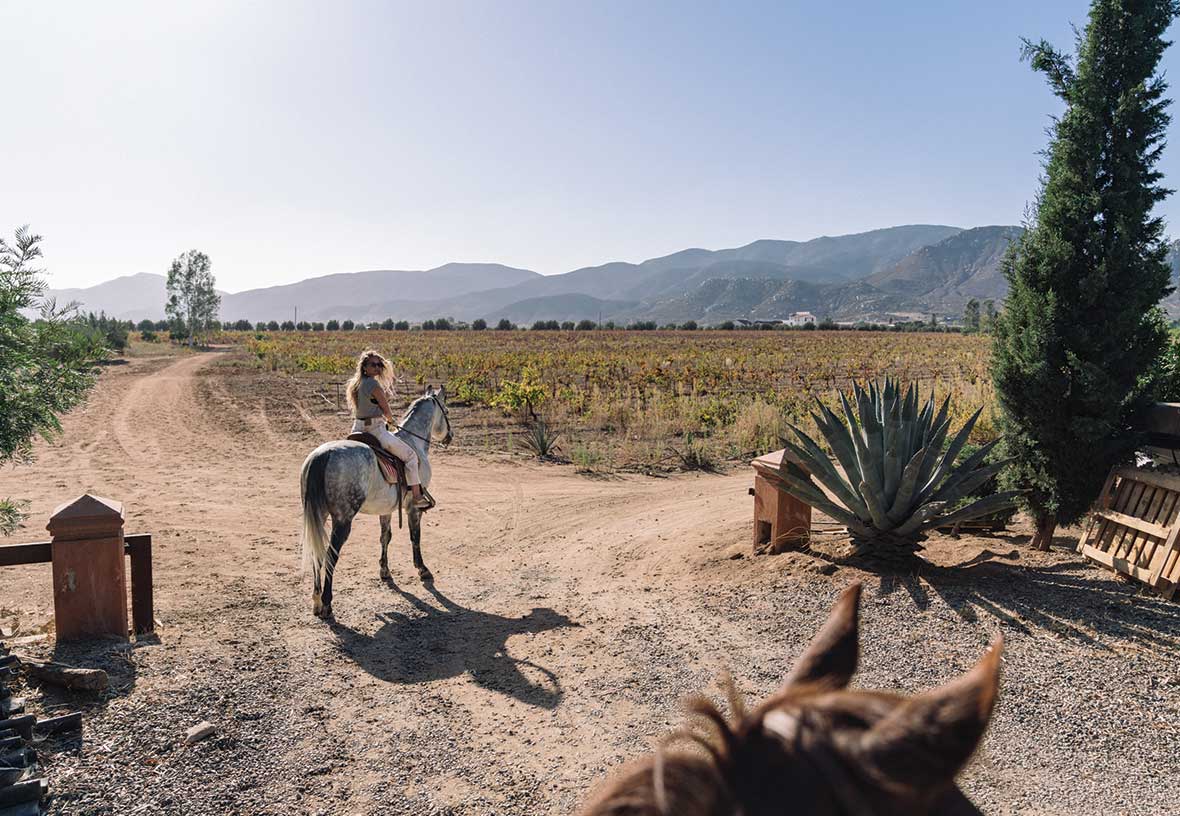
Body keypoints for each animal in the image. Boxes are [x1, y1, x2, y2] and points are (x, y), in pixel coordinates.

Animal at [299, 384, 450, 617]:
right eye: (447, 411)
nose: (449, 437)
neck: (413, 443)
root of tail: (322, 456)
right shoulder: (412, 509)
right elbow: (415, 537)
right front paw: (422, 569)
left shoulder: (385, 509)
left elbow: (385, 537)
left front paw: (384, 571)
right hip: (342, 521)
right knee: (331, 555)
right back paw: (326, 603)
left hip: (319, 516)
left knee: (318, 553)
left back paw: (316, 600)